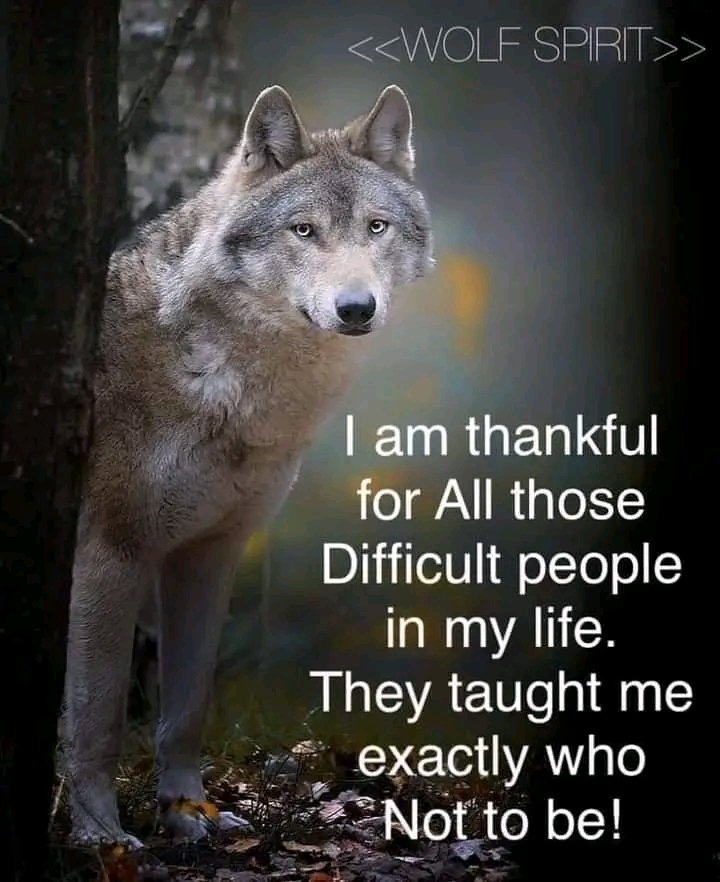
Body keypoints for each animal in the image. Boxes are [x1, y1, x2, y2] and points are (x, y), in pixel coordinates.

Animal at [62, 83, 433, 847]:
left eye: (376, 227)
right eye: (304, 231)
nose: (356, 308)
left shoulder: (207, 553)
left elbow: (186, 708)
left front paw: (187, 812)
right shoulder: (110, 553)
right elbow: (96, 720)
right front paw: (102, 836)